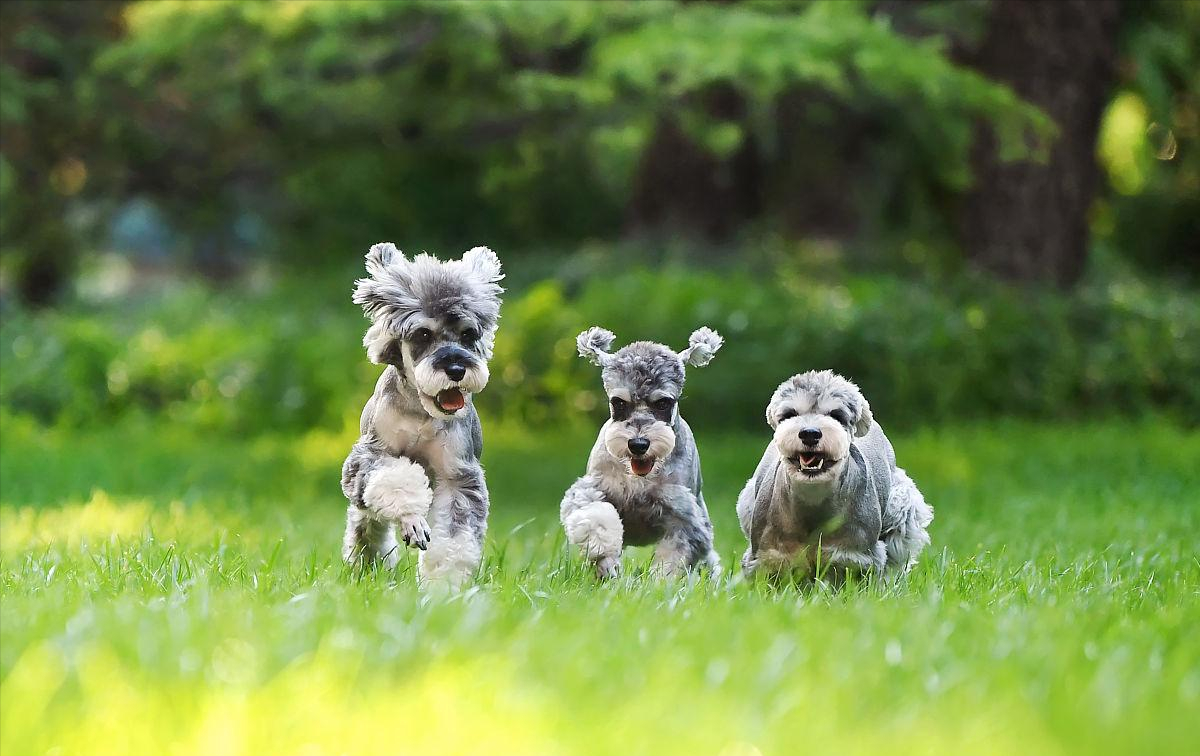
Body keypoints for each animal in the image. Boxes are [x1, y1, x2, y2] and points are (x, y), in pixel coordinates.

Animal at [340, 246, 504, 590]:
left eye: (469, 334)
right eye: (423, 334)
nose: (456, 369)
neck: (421, 412)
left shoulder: (458, 476)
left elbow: (454, 538)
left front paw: (444, 586)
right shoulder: (371, 456)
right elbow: (395, 482)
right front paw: (412, 521)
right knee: (366, 524)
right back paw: (365, 565)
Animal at [559, 326, 720, 580]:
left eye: (663, 403)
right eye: (618, 402)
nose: (638, 444)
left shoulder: (683, 517)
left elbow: (673, 557)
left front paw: (660, 583)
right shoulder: (590, 490)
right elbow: (597, 518)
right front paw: (603, 551)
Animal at [734, 369, 931, 583]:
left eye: (837, 415)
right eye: (789, 414)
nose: (810, 433)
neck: (813, 497)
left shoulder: (853, 555)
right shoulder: (769, 552)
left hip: (900, 508)